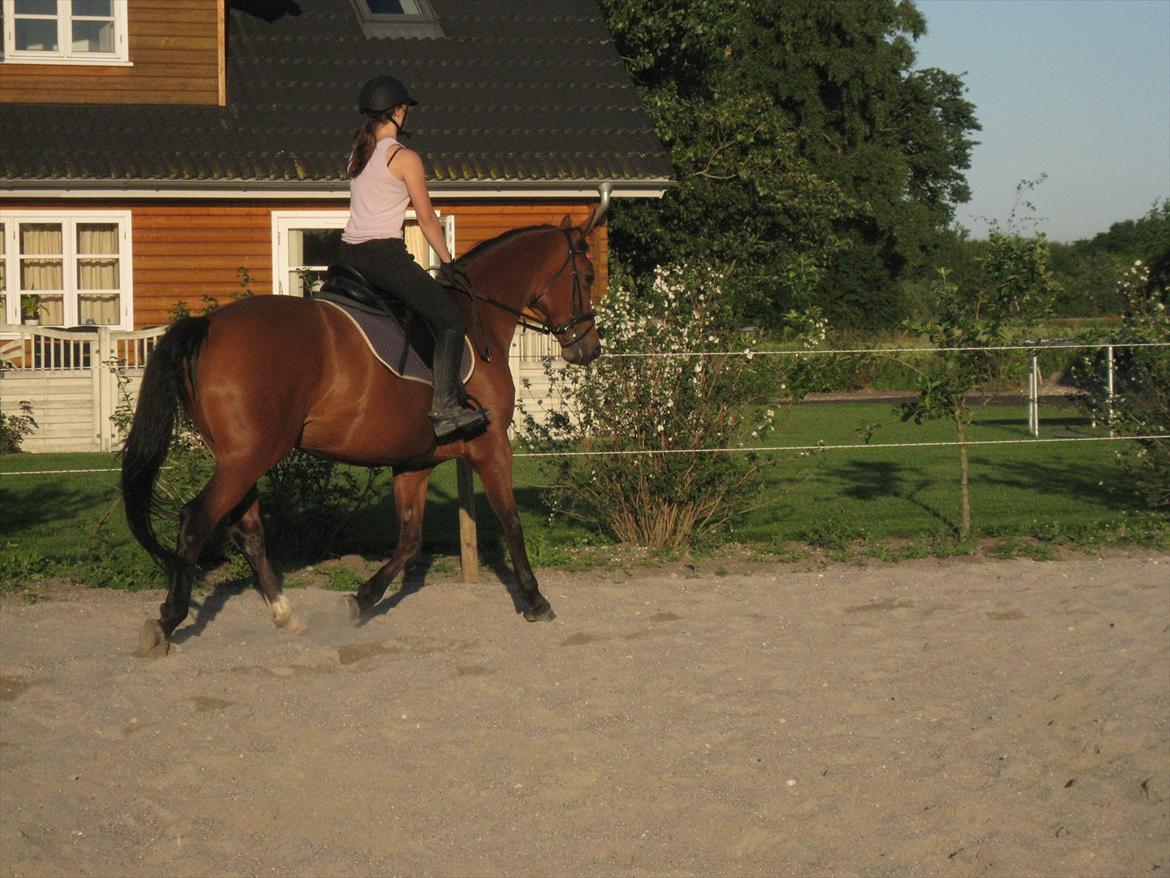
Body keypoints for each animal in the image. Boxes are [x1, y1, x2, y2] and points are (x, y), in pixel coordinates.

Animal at [121, 211, 603, 655]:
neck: (476, 316)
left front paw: (360, 600)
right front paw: (534, 599)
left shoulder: (415, 461)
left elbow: (409, 540)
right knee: (196, 521)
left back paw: (286, 613)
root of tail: (208, 324)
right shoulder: (491, 447)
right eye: (588, 275)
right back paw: (168, 621)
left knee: (248, 531)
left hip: (241, 458)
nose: (588, 348)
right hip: (247, 458)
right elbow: (510, 521)